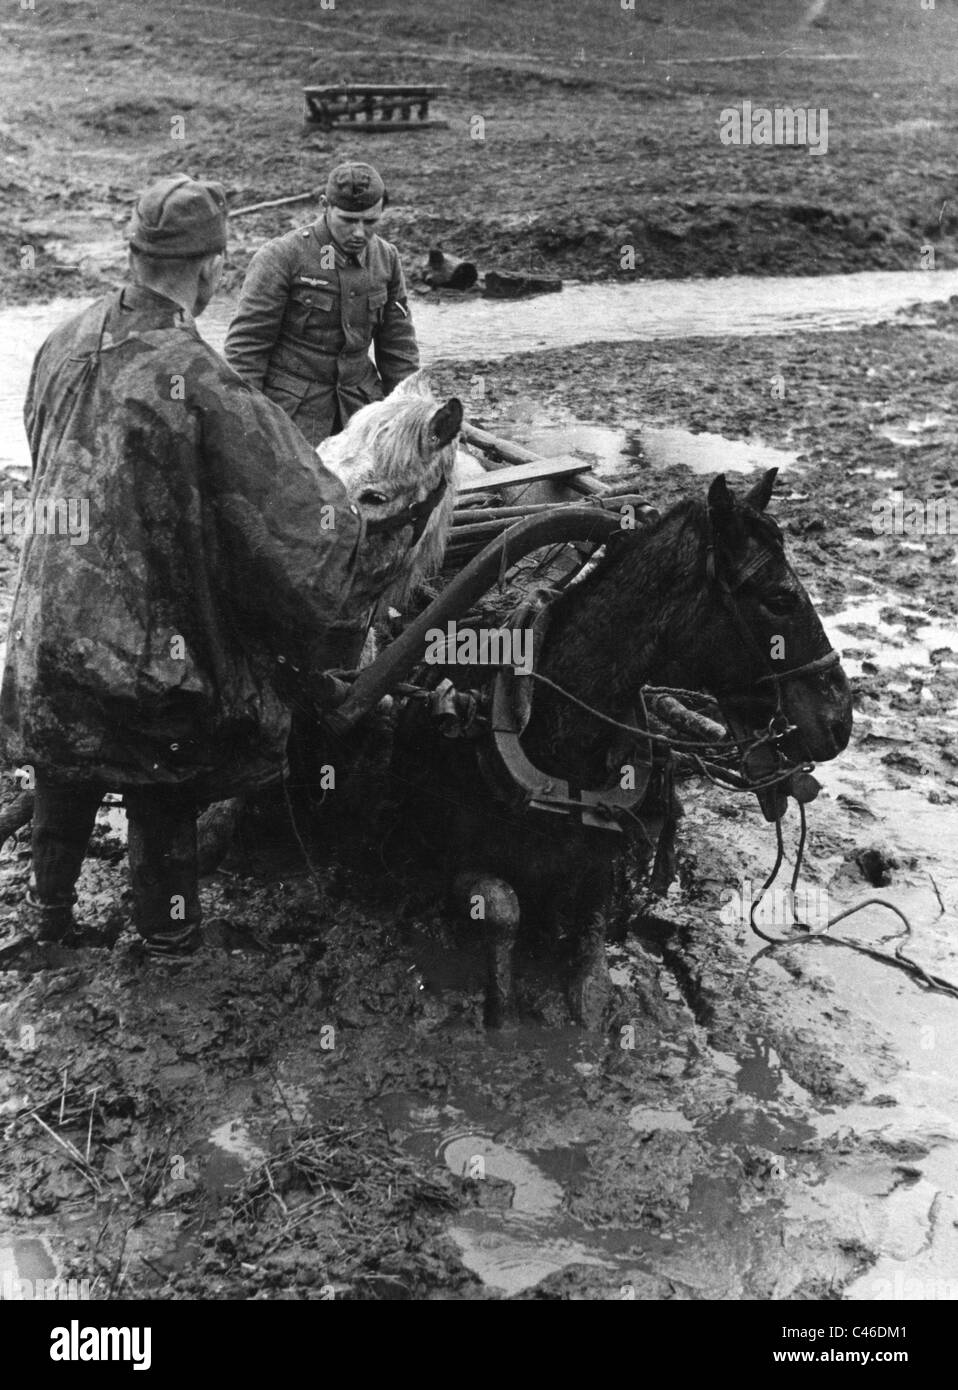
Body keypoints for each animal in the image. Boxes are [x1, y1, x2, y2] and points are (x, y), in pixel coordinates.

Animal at [383, 472, 850, 1028]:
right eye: (779, 599)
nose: (840, 719)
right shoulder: (442, 857)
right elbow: (501, 907)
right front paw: (501, 1016)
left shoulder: (601, 871)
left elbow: (591, 975)